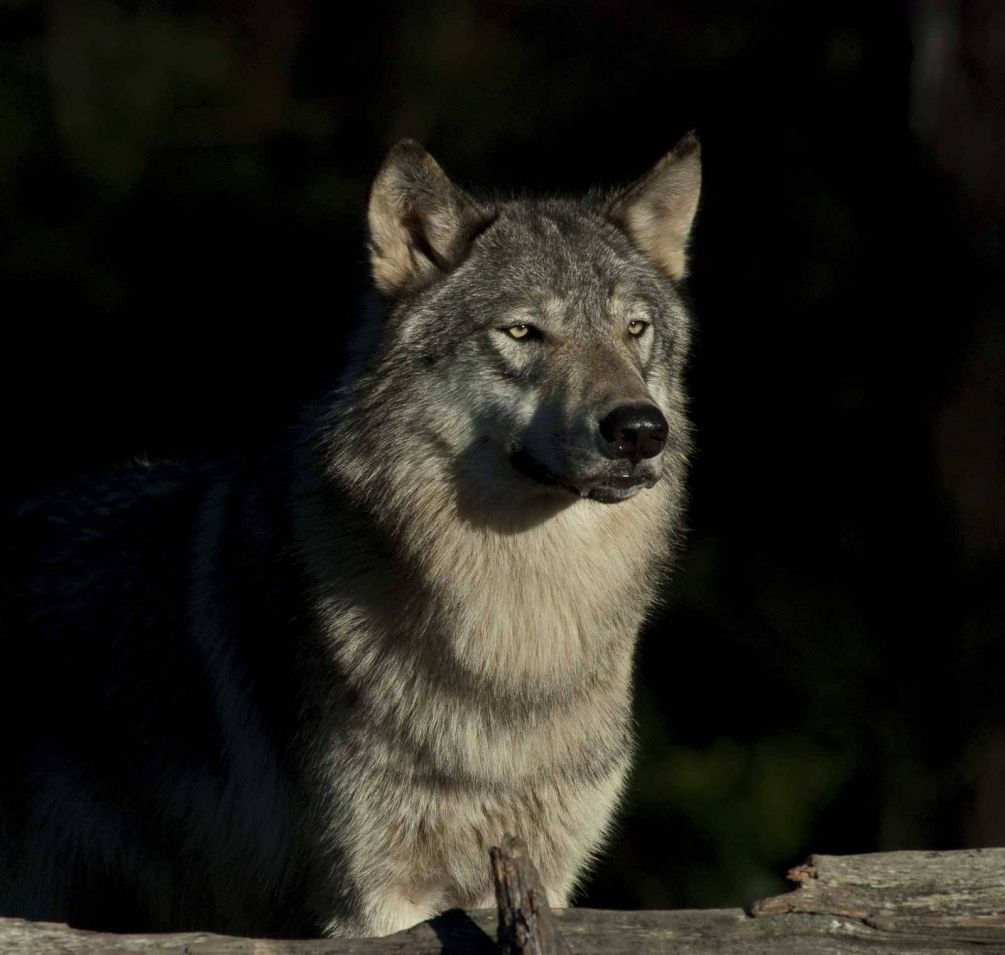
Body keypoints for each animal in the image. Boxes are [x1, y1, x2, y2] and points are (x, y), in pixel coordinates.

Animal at [0, 136, 703, 940]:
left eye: (633, 329)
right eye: (523, 331)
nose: (640, 430)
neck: (517, 639)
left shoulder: (543, 884)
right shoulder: (375, 897)